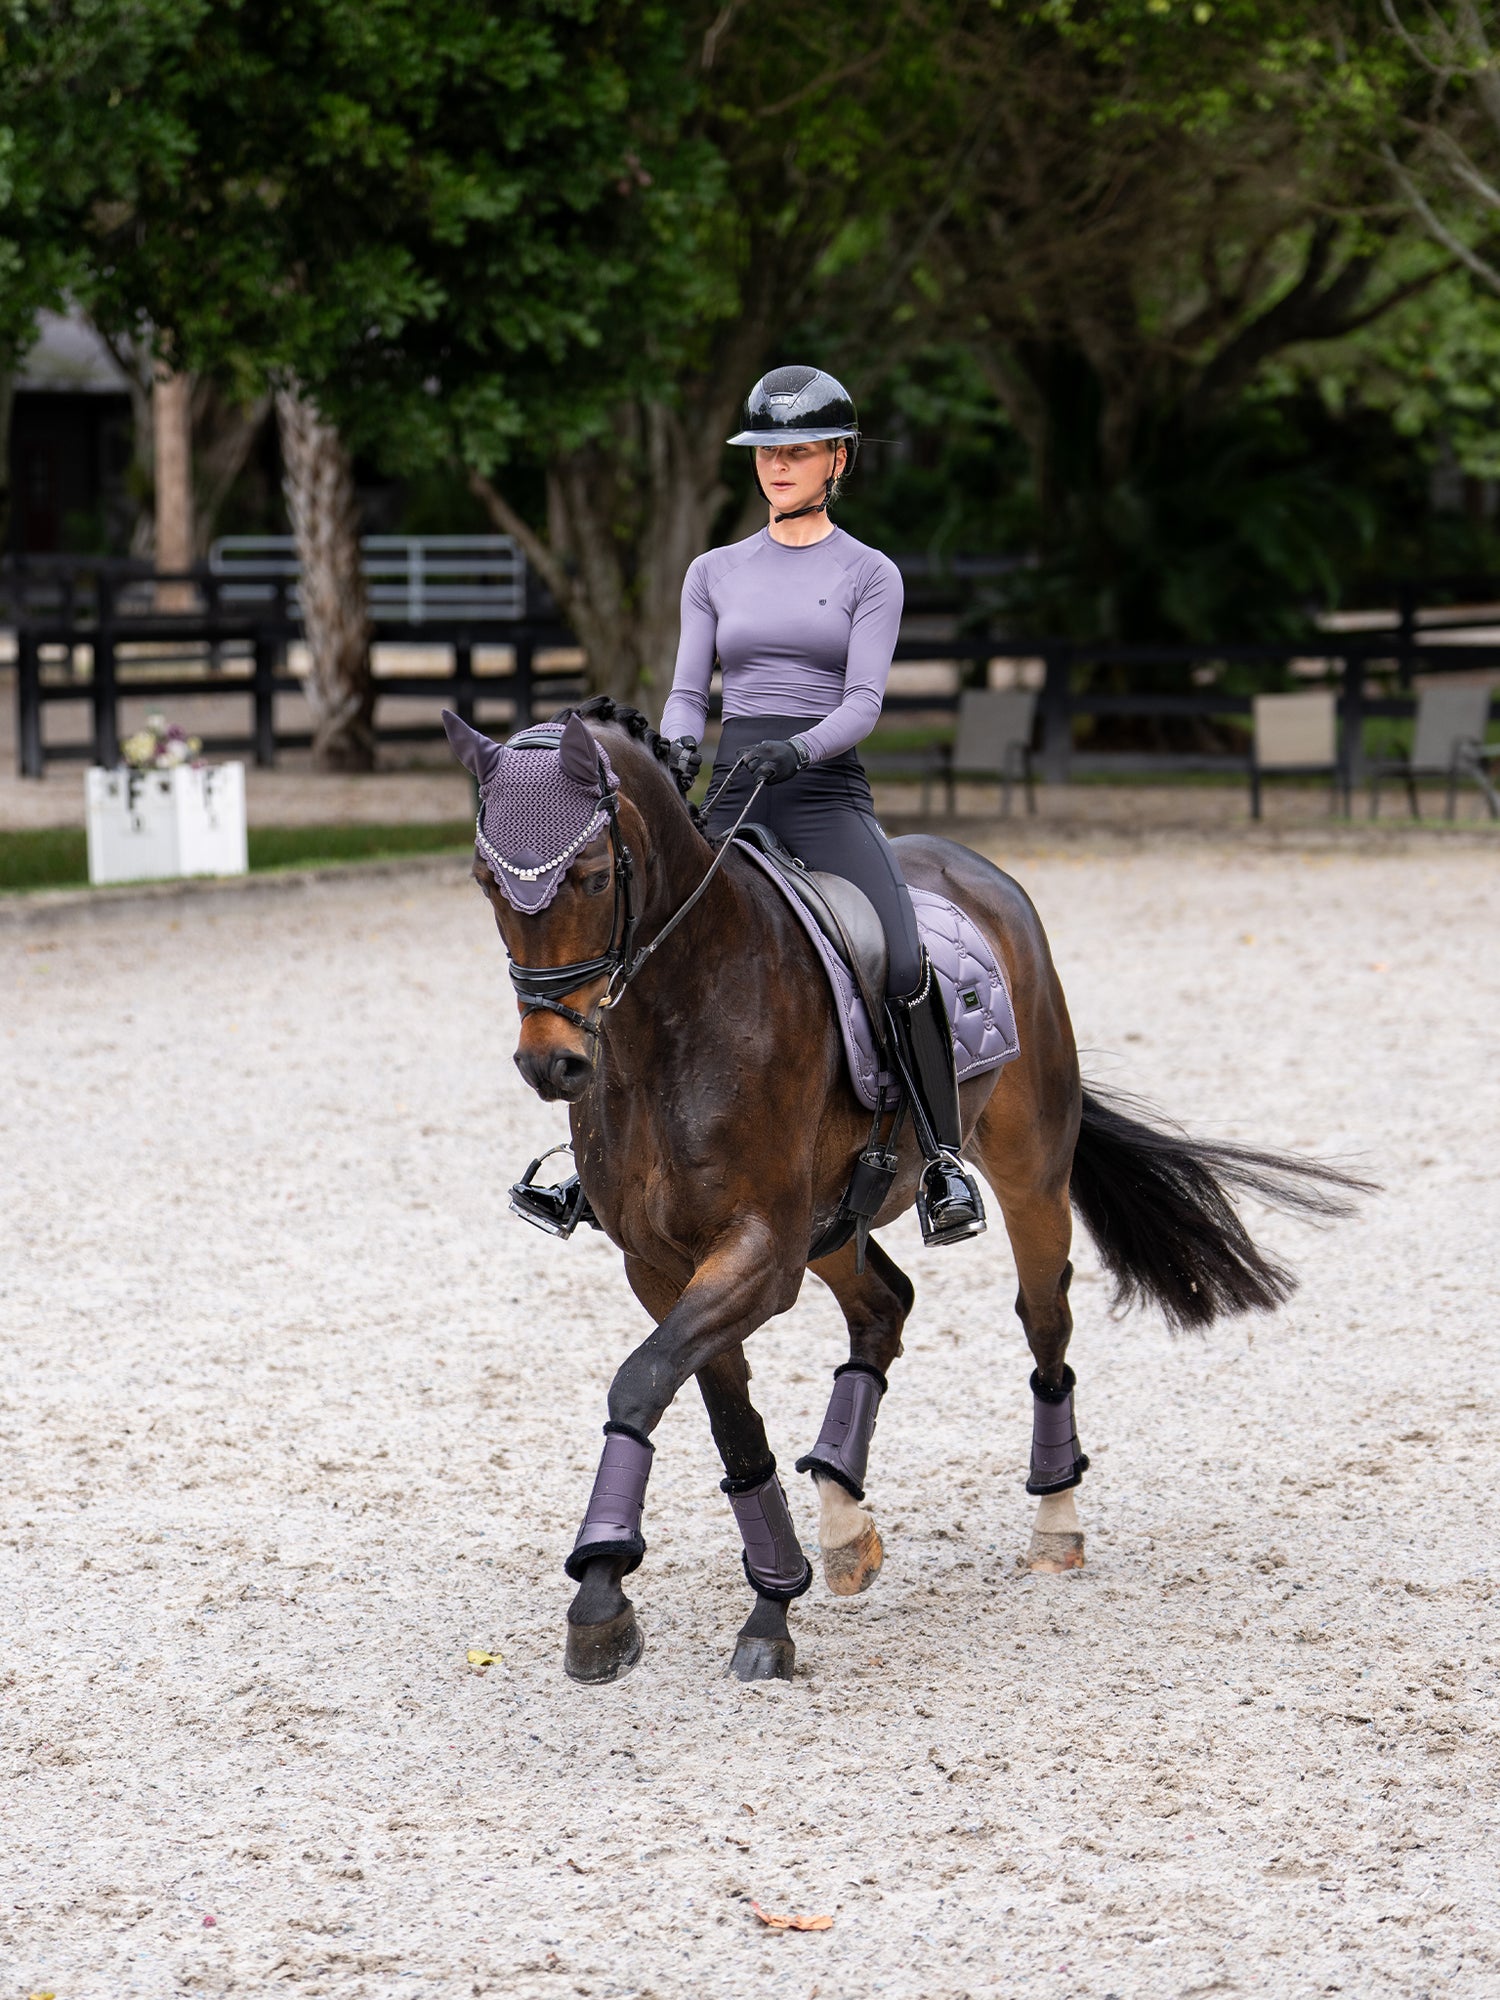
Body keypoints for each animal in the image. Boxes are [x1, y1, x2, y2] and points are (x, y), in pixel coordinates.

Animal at [443, 696, 1364, 1685]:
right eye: (486, 882)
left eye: (585, 877)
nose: (552, 1064)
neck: (679, 1015)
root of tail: (979, 872)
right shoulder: (662, 1264)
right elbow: (717, 1418)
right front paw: (703, 1596)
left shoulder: (758, 1254)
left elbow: (642, 1380)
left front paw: (627, 1594)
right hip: (836, 1221)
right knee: (885, 1303)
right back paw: (844, 1521)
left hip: (1024, 1175)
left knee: (1045, 1320)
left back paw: (1055, 1521)